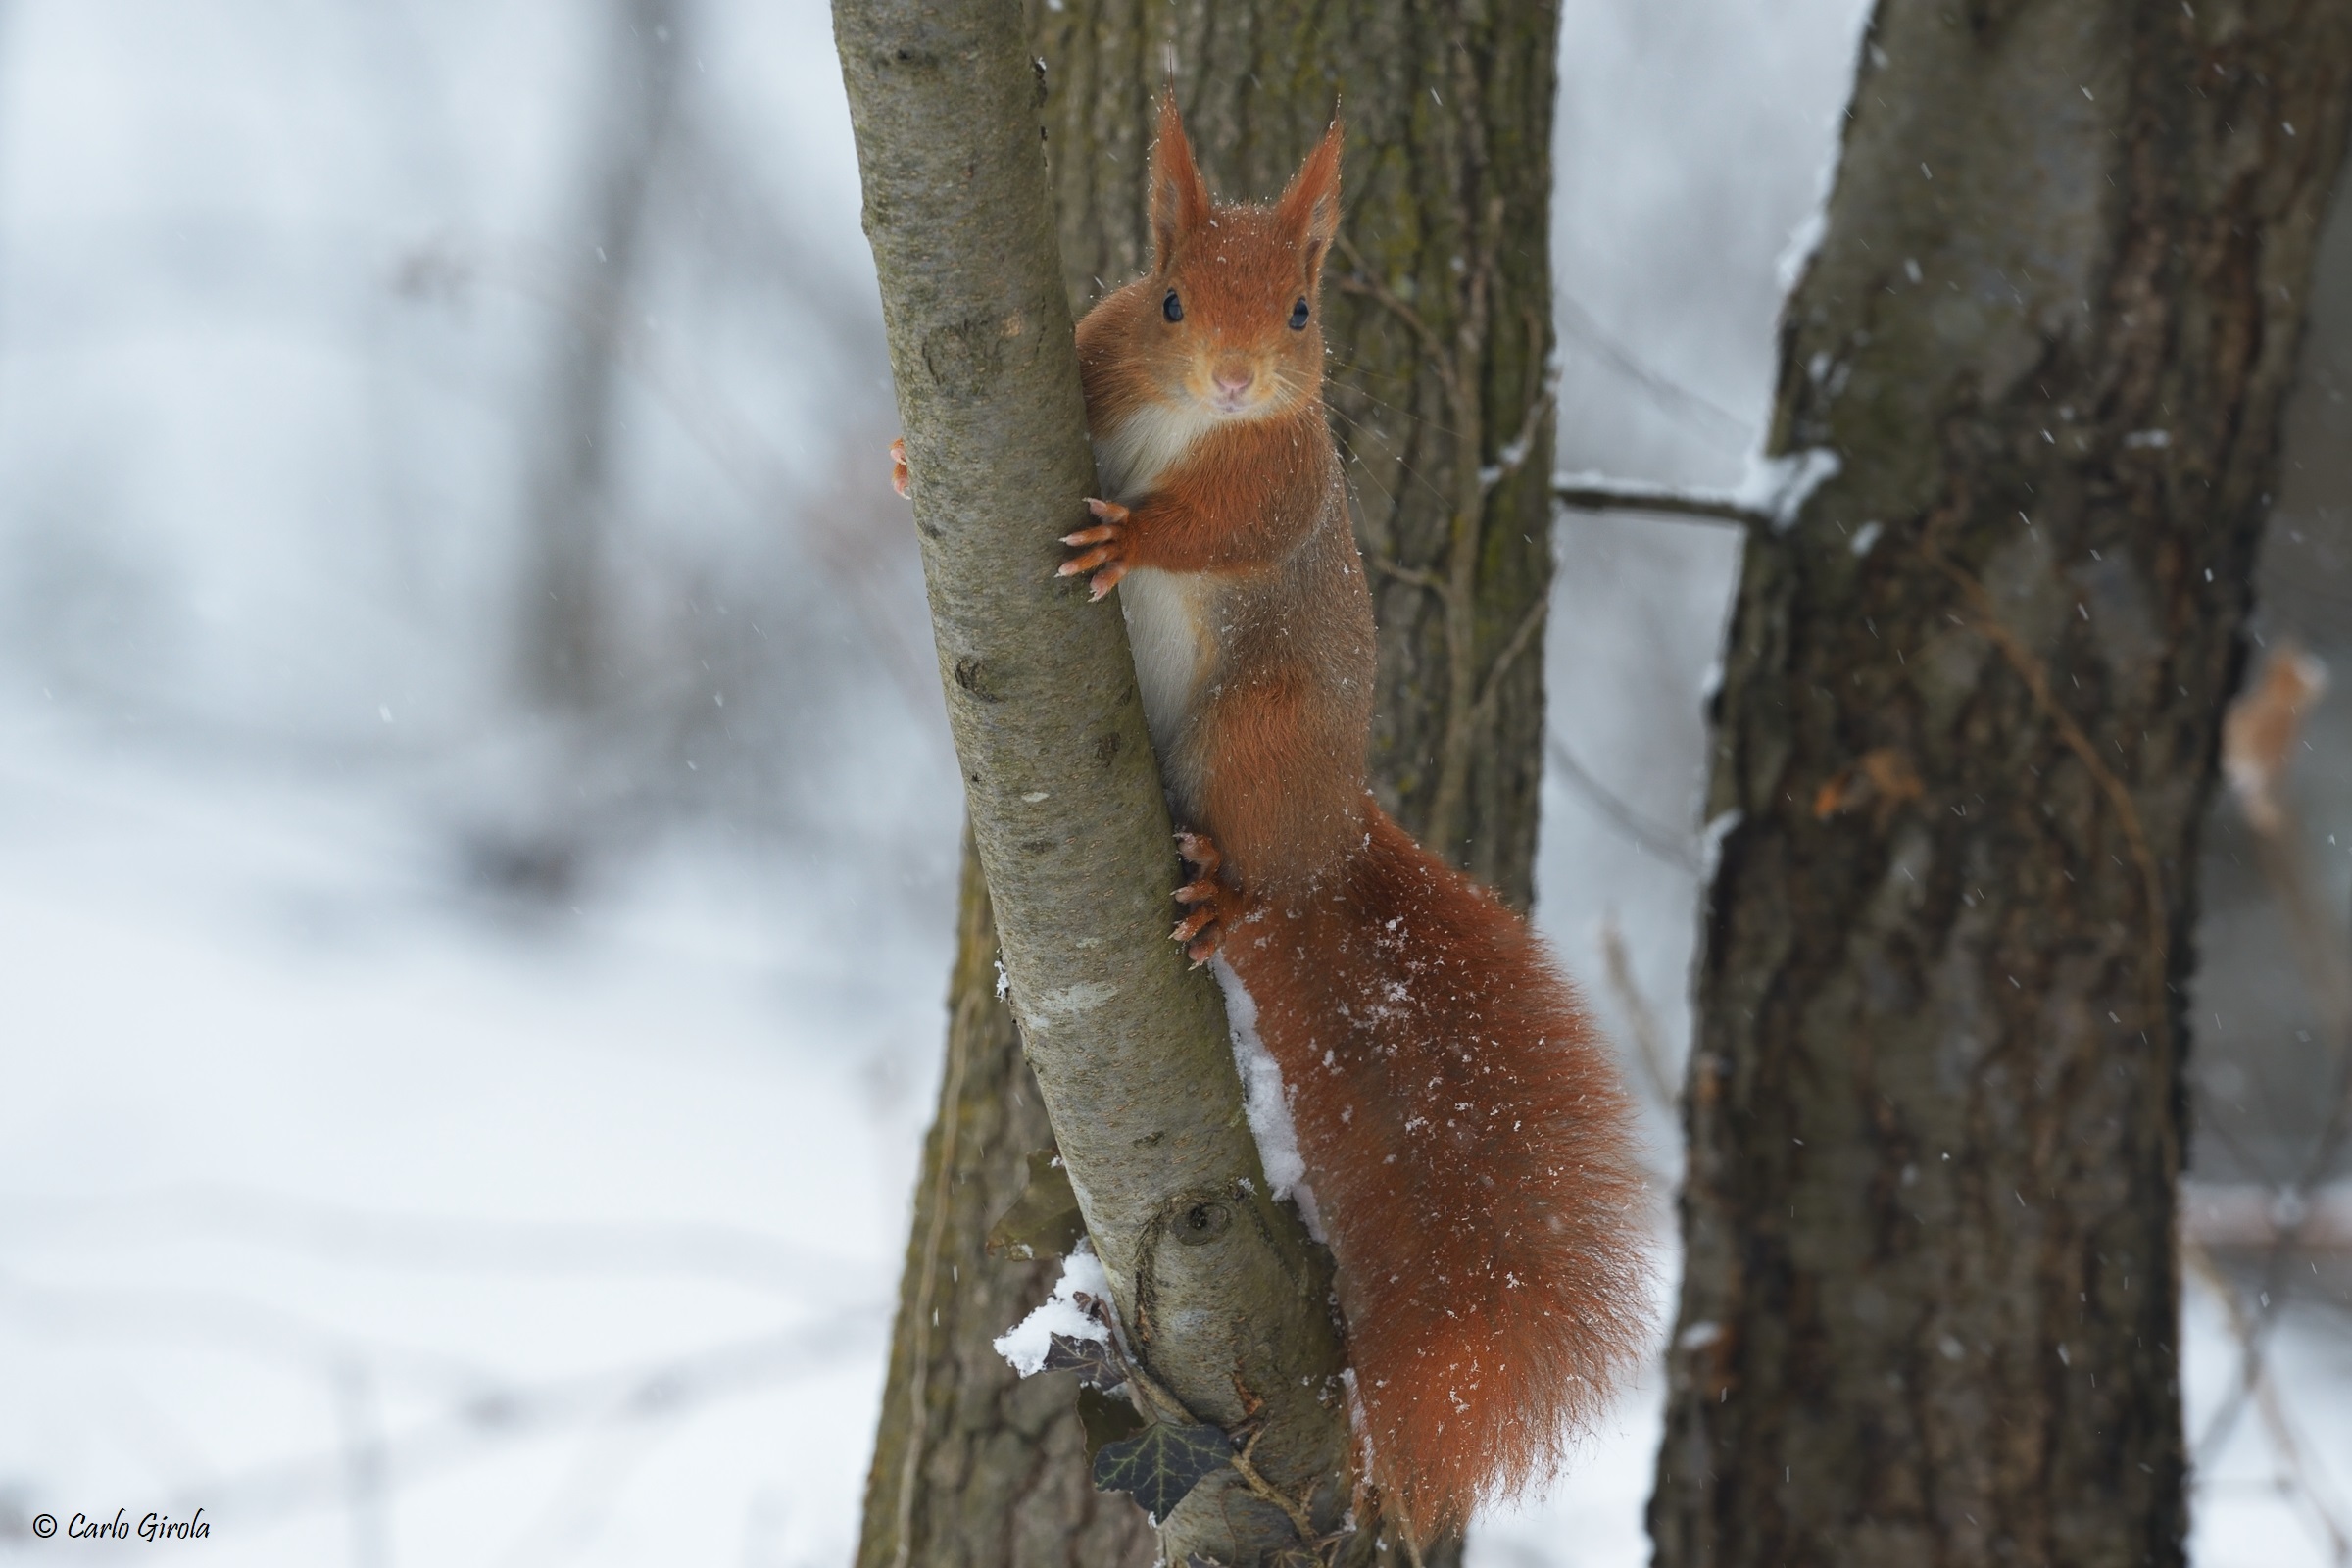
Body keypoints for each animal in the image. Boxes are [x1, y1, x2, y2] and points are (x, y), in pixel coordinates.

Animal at [898, 98, 1649, 1536]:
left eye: (1302, 311)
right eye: (1172, 299)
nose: (1240, 379)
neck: (1185, 419)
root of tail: (1334, 838)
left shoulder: (1283, 475)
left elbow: (1226, 526)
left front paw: (1132, 541)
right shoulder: (1098, 350)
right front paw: (908, 458)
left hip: (1259, 742)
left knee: (1256, 869)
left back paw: (1226, 895)